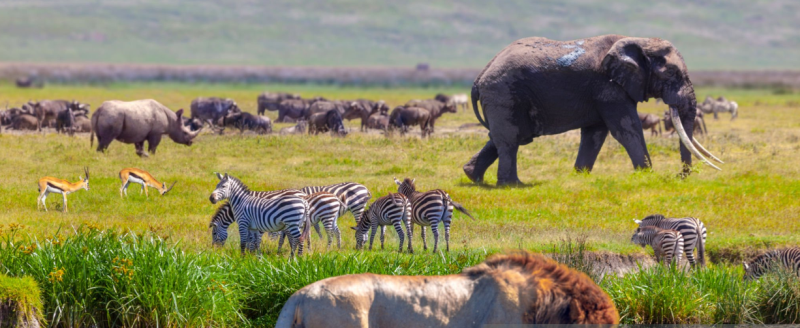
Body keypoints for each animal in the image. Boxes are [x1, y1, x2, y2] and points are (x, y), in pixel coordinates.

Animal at [460, 34, 720, 186]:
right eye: (672, 74)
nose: (680, 176)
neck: (636, 40)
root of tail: (479, 78)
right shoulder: (608, 86)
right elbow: (626, 129)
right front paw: (647, 175)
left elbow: (595, 134)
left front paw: (579, 176)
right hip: (503, 93)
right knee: (511, 140)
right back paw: (513, 185)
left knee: (505, 137)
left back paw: (473, 177)